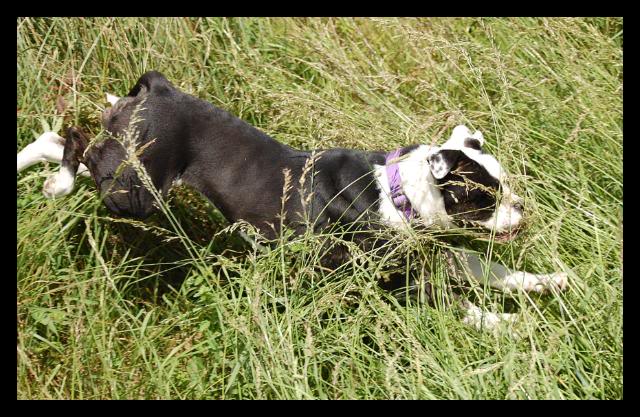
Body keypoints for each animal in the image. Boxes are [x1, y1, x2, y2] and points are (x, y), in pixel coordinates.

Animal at [15, 71, 568, 332]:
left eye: (507, 187)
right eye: (484, 197)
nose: (521, 208)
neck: (400, 194)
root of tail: (158, 88)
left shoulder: (427, 249)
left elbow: (485, 267)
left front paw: (546, 281)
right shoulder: (394, 276)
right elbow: (457, 303)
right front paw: (507, 326)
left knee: (57, 138)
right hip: (134, 189)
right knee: (76, 145)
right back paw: (58, 184)